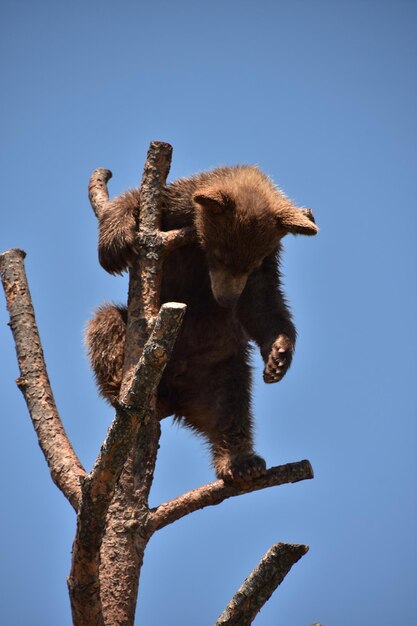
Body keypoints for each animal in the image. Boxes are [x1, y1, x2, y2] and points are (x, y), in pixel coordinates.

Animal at [85, 165, 318, 478]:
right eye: (219, 256)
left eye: (251, 263)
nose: (227, 300)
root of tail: (176, 401)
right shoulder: (174, 212)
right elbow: (137, 201)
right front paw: (115, 243)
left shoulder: (268, 262)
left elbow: (263, 303)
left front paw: (278, 355)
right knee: (105, 323)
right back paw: (122, 384)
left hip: (220, 365)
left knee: (230, 407)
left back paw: (242, 461)